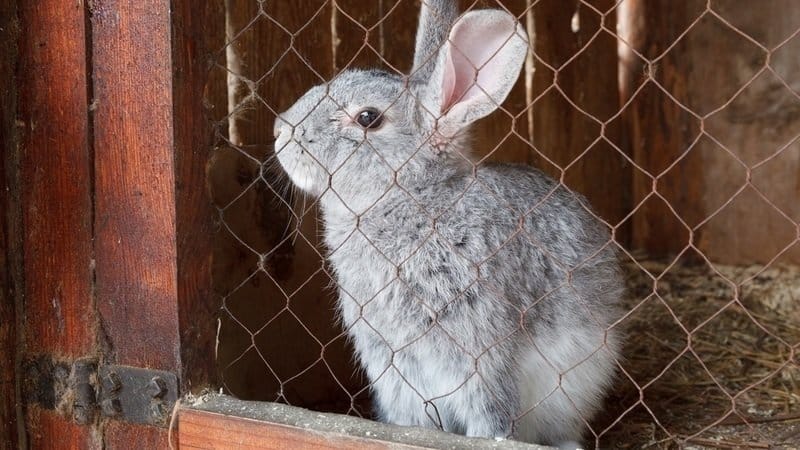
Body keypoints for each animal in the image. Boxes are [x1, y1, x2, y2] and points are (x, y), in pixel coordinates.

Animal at [276, 1, 624, 448]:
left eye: (368, 118)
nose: (280, 130)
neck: (416, 199)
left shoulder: (483, 355)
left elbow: (491, 415)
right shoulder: (394, 367)